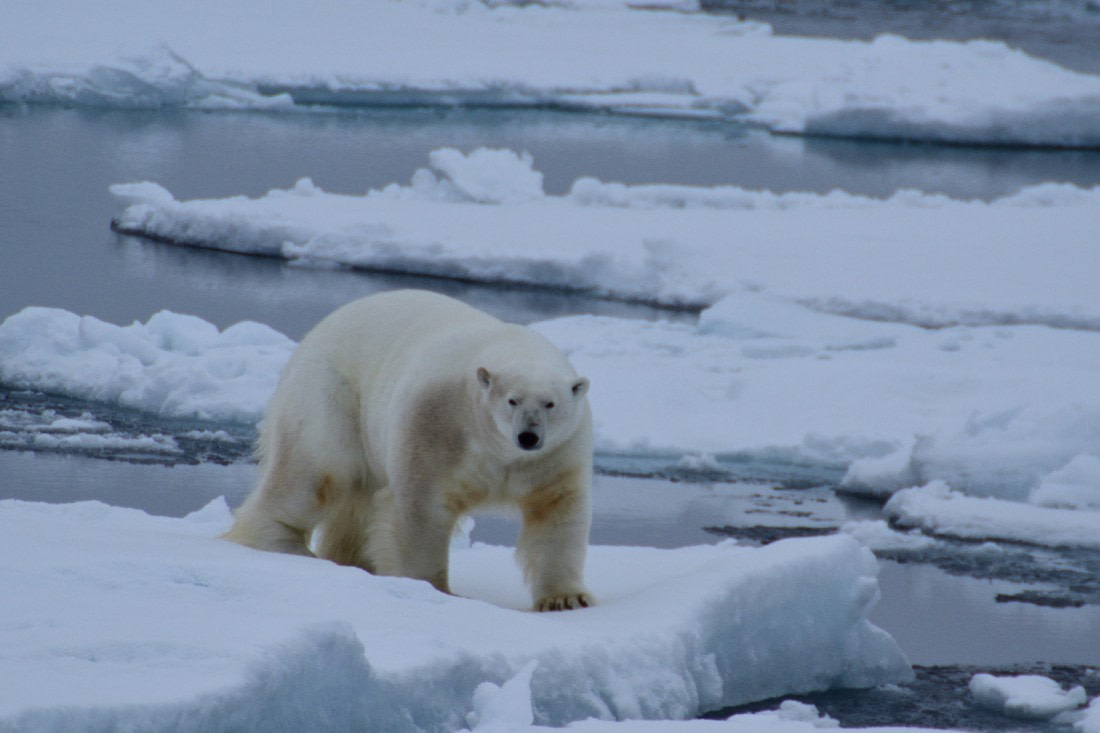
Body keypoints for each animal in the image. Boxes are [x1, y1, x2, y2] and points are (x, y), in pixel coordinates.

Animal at [224, 289, 594, 611]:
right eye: (512, 400)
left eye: (550, 404)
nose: (528, 436)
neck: (498, 450)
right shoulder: (437, 424)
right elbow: (422, 507)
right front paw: (433, 589)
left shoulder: (556, 456)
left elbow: (557, 513)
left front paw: (565, 599)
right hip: (329, 394)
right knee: (312, 472)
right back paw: (286, 544)